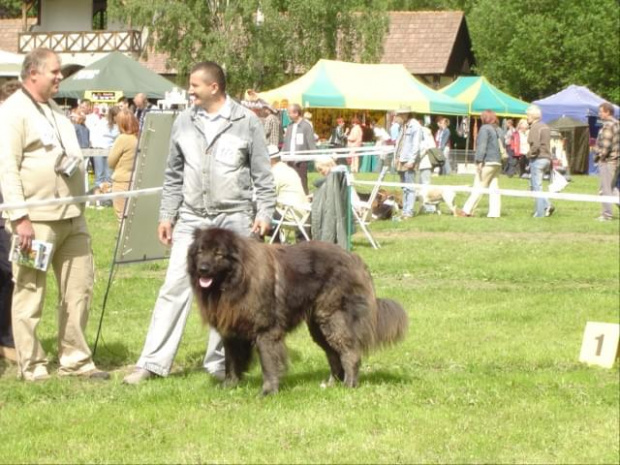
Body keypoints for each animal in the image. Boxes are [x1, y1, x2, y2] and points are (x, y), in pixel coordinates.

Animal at [186, 227, 410, 394]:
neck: (237, 280)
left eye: (218, 253)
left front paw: (268, 391)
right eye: (200, 251)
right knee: (333, 354)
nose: (203, 269)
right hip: (318, 326)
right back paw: (331, 384)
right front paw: (229, 386)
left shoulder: (266, 331)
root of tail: (355, 258)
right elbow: (231, 362)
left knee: (350, 352)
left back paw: (349, 385)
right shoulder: (231, 332)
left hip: (332, 318)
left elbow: (268, 363)